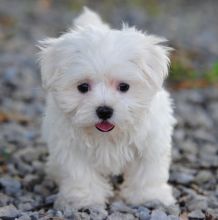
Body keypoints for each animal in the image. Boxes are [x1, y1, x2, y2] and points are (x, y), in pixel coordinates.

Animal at [38, 7, 176, 210]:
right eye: (83, 87)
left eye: (124, 86)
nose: (104, 110)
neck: (108, 136)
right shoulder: (71, 147)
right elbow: (81, 173)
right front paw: (84, 199)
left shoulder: (150, 142)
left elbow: (147, 171)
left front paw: (149, 196)